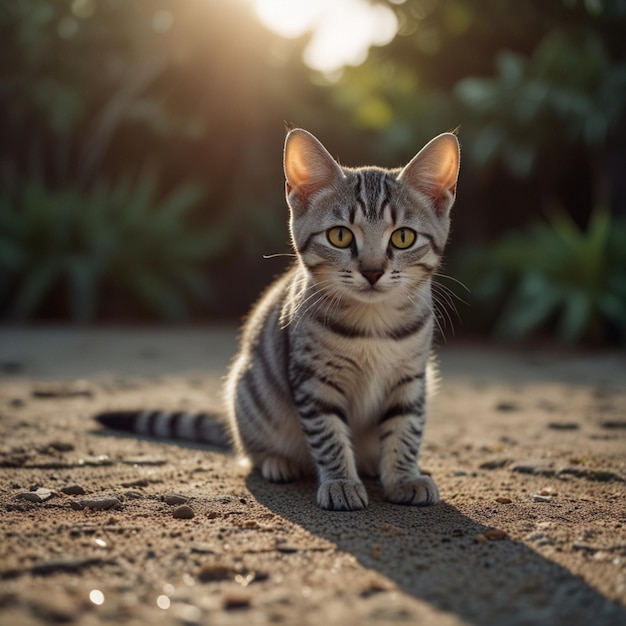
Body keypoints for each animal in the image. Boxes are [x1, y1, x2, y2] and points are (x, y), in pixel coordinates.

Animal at [96, 128, 458, 512]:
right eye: (340, 235)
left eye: (403, 237)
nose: (373, 271)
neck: (373, 323)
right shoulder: (313, 380)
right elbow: (329, 435)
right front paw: (341, 481)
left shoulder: (411, 378)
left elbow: (405, 429)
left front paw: (403, 477)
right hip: (249, 392)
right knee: (252, 451)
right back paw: (278, 462)